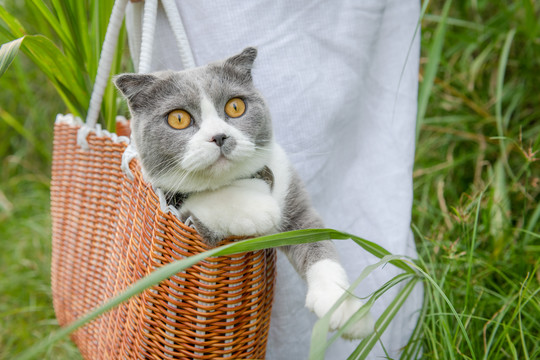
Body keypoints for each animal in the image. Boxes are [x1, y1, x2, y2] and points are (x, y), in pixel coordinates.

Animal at [114, 46, 376, 338]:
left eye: (235, 106)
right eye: (178, 118)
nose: (219, 136)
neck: (241, 179)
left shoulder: (292, 194)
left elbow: (318, 241)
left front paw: (344, 306)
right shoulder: (176, 207)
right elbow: (208, 198)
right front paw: (260, 210)